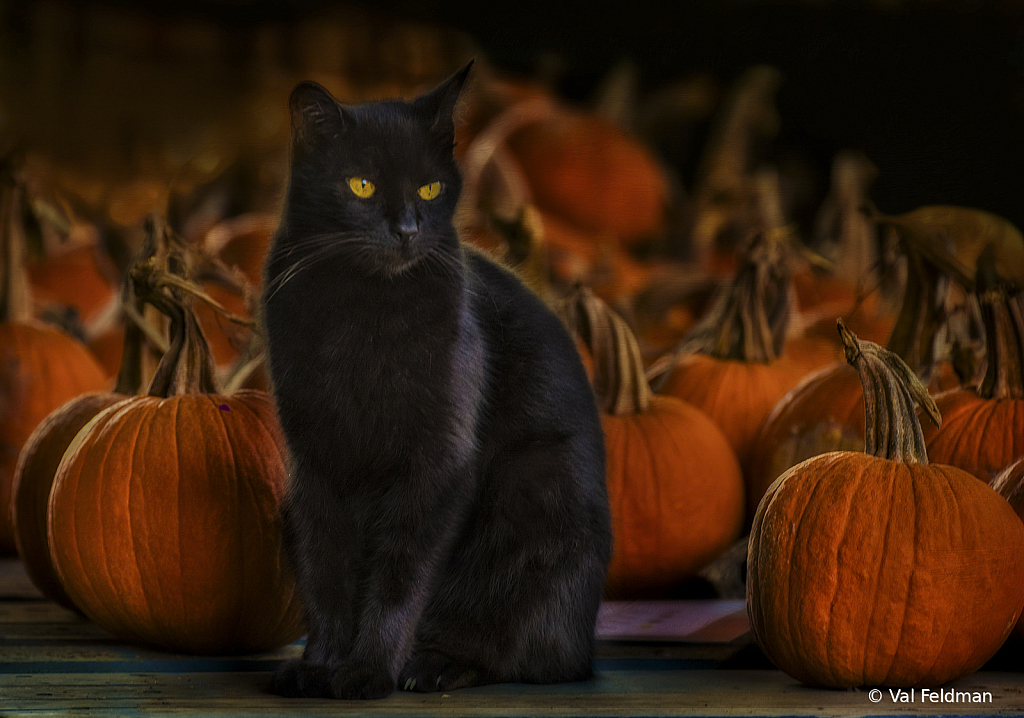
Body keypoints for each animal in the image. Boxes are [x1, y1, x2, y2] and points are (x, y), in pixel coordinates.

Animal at [264, 62, 610, 700]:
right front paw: (320, 664)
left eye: (430, 189)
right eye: (362, 185)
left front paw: (368, 671)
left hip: (535, 495)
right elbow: (327, 568)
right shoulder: (318, 461)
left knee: (522, 649)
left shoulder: (437, 462)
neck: (364, 313)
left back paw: (434, 667)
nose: (406, 229)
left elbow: (401, 576)